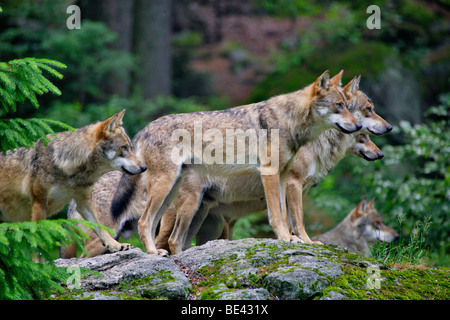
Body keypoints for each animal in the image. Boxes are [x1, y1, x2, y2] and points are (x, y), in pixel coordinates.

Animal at [0, 111, 145, 254]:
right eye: (124, 148)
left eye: (131, 147)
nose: (144, 167)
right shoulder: (39, 203)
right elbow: (40, 242)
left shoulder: (84, 201)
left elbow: (101, 228)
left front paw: (116, 246)